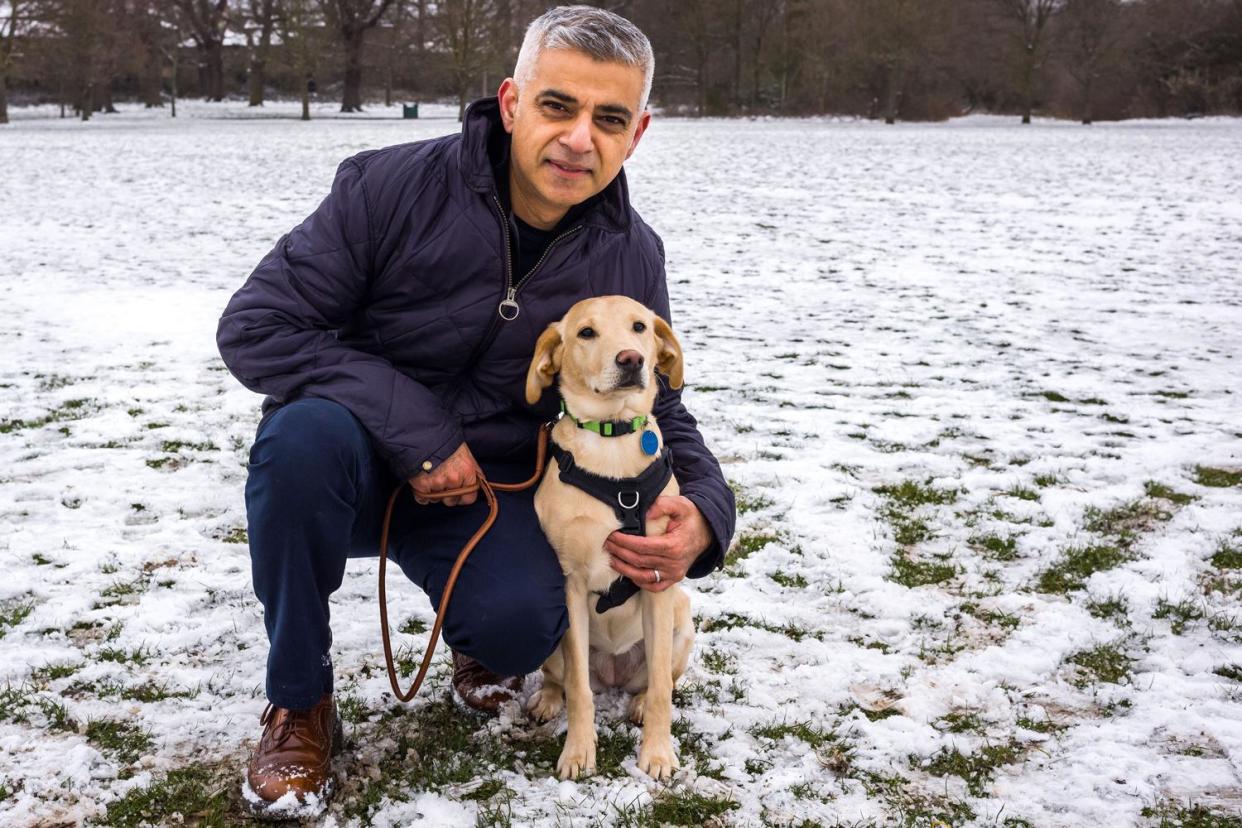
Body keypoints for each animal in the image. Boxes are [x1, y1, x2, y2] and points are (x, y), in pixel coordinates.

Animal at [521, 294, 700, 779]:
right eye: (586, 332)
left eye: (639, 327)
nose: (631, 359)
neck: (612, 441)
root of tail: (614, 675)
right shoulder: (570, 583)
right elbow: (578, 690)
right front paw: (578, 752)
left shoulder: (657, 577)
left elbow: (660, 690)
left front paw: (656, 754)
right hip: (555, 641)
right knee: (563, 679)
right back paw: (547, 701)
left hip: (682, 623)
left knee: (658, 682)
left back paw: (636, 703)